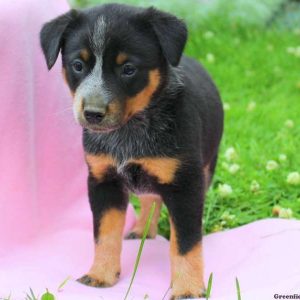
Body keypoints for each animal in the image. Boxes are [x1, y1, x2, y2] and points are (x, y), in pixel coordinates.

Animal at [39, 2, 223, 300]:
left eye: (128, 69)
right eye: (77, 65)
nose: (93, 113)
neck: (129, 132)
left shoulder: (185, 183)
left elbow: (185, 243)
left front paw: (187, 288)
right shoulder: (103, 181)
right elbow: (104, 233)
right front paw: (100, 274)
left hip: (208, 165)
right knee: (150, 199)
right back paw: (141, 231)